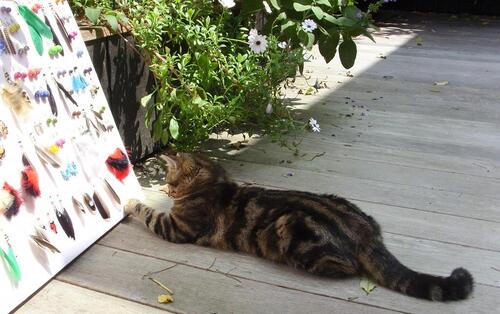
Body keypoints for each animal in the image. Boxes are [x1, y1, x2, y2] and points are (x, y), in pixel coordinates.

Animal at [125, 153, 472, 300]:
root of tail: (366, 232)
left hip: (292, 229)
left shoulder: (175, 227)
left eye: (170, 180)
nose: (167, 188)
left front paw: (130, 201)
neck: (213, 182)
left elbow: (147, 212)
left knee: (347, 268)